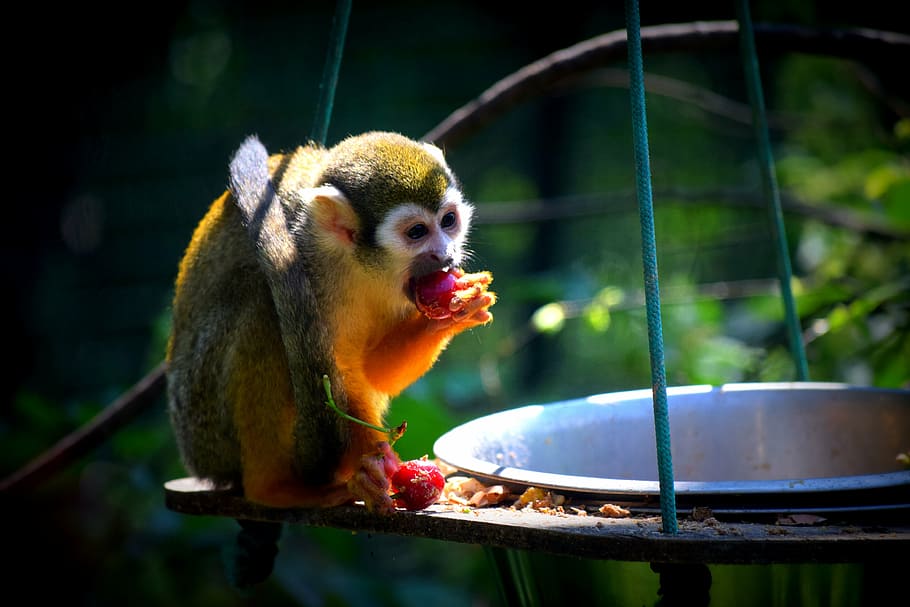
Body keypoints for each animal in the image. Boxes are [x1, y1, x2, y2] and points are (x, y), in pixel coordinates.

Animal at [165, 131, 495, 512]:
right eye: (417, 232)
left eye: (448, 221)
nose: (446, 255)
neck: (360, 264)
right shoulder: (305, 256)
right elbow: (342, 372)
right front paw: (373, 465)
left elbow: (374, 371)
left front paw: (454, 314)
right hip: (205, 424)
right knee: (262, 308)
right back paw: (273, 487)